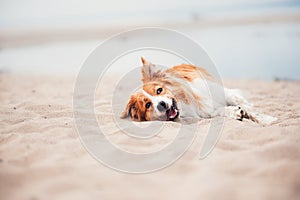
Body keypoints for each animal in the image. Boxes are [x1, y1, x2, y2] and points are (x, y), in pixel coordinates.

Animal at [120, 57, 276, 124]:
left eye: (159, 90)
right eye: (147, 105)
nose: (162, 104)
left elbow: (245, 106)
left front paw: (267, 119)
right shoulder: (207, 112)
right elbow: (219, 112)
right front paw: (235, 112)